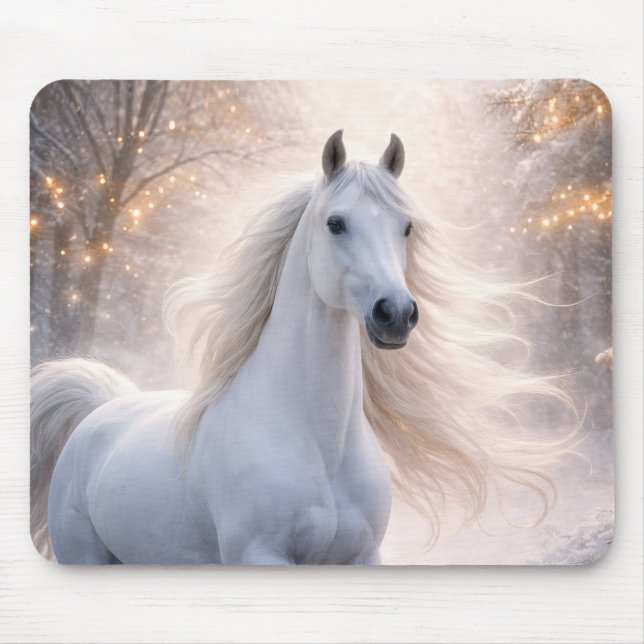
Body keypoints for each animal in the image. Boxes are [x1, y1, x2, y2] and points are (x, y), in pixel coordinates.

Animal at [31, 131, 575, 564]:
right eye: (335, 223)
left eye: (406, 227)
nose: (396, 314)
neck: (318, 441)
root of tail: (100, 412)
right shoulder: (260, 557)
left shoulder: (361, 558)